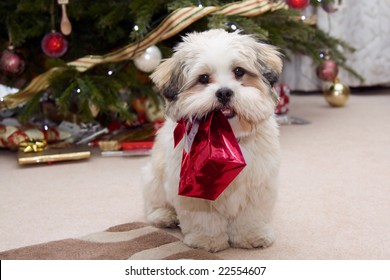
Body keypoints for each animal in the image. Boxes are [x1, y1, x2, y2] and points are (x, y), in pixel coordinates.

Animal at [142, 29, 282, 253]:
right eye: (204, 78)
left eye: (239, 71)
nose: (224, 92)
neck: (226, 138)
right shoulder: (192, 189)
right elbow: (204, 219)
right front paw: (207, 240)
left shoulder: (258, 183)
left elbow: (251, 216)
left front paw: (251, 235)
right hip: (153, 177)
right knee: (154, 203)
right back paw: (164, 215)